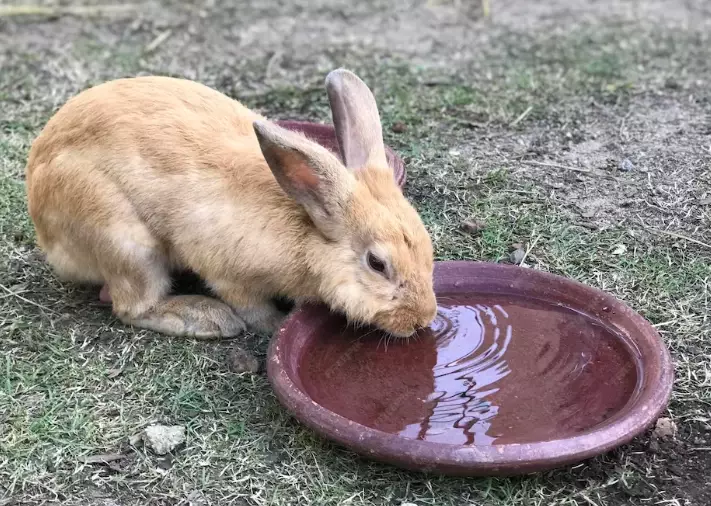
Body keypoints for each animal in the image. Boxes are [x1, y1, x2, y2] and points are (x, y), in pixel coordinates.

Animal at [25, 69, 438, 339]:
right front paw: (272, 324)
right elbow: (251, 306)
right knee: (130, 306)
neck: (306, 235)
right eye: (377, 264)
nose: (422, 319)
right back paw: (208, 320)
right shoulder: (228, 273)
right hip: (127, 244)